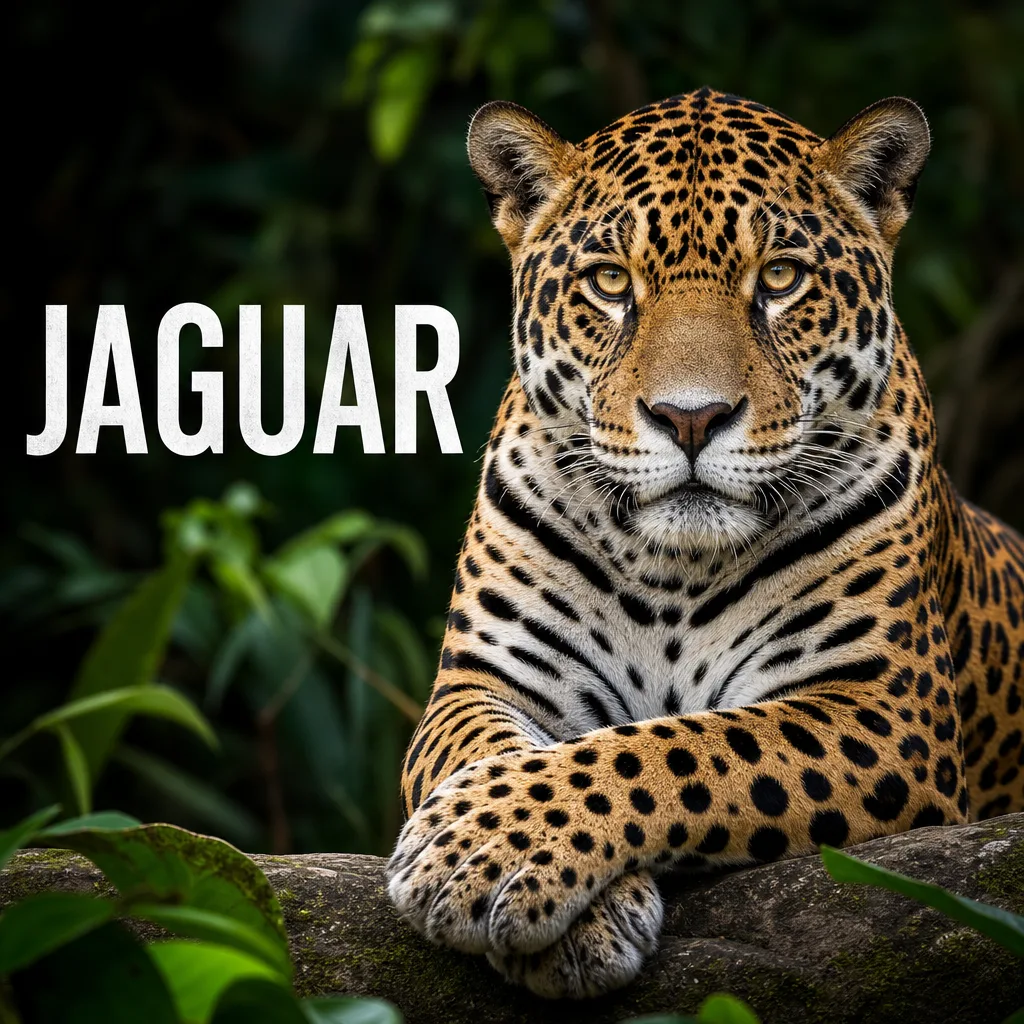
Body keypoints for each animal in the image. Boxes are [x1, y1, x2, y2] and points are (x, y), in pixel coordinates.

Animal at [386, 86, 1024, 999]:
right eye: (611, 283)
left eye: (781, 279)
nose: (691, 418)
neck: (673, 570)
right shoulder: (483, 681)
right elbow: (487, 749)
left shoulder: (882, 707)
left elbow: (681, 750)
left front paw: (481, 850)